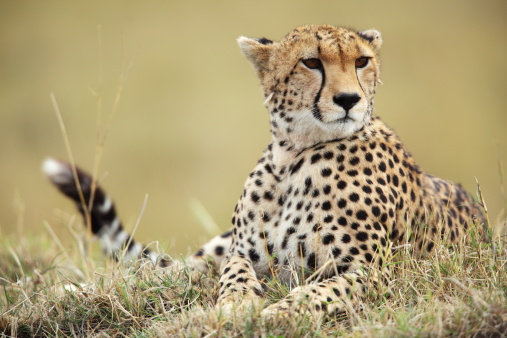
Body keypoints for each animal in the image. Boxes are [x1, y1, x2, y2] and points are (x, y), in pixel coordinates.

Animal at [43, 24, 484, 320]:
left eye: (362, 61)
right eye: (311, 62)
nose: (349, 99)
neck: (294, 156)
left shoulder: (371, 270)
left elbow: (320, 291)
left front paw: (278, 313)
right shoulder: (242, 251)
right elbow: (233, 271)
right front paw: (237, 302)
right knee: (172, 269)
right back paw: (74, 291)